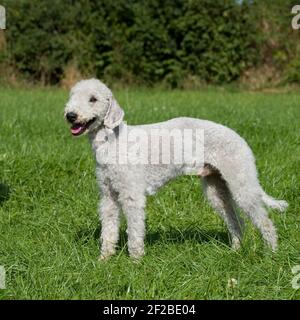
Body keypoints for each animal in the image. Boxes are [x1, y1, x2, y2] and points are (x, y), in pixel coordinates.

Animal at [65, 79, 288, 258]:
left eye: (93, 99)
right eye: (72, 96)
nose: (70, 115)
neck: (112, 141)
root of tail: (241, 139)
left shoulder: (131, 194)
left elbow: (135, 229)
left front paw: (135, 261)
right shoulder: (108, 195)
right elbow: (108, 230)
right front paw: (104, 260)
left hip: (241, 180)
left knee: (265, 221)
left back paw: (272, 254)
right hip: (217, 187)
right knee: (237, 221)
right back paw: (236, 250)